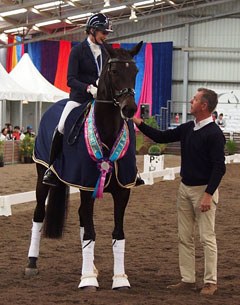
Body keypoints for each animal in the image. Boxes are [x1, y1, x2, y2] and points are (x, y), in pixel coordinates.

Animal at [24, 41, 142, 290]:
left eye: (136, 71)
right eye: (113, 71)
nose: (129, 109)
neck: (107, 133)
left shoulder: (121, 191)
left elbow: (118, 233)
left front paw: (119, 279)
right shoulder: (88, 186)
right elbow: (90, 232)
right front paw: (88, 280)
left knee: (80, 217)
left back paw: (92, 268)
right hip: (42, 177)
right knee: (39, 214)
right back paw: (31, 264)